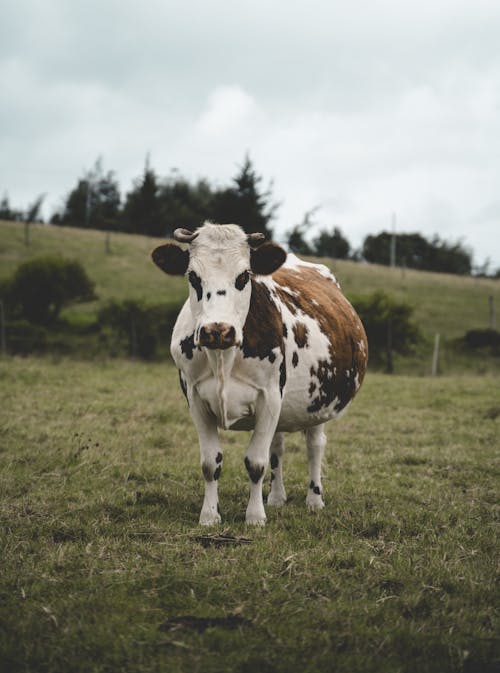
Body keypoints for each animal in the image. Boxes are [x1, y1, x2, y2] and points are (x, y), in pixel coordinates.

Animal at [152, 220, 368, 524]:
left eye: (244, 276)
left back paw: (314, 499)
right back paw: (276, 497)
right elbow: (210, 462)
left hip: (318, 402)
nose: (217, 330)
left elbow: (256, 462)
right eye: (193, 277)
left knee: (315, 446)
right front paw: (209, 515)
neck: (223, 356)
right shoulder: (195, 399)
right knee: (277, 446)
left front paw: (255, 516)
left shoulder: (270, 397)